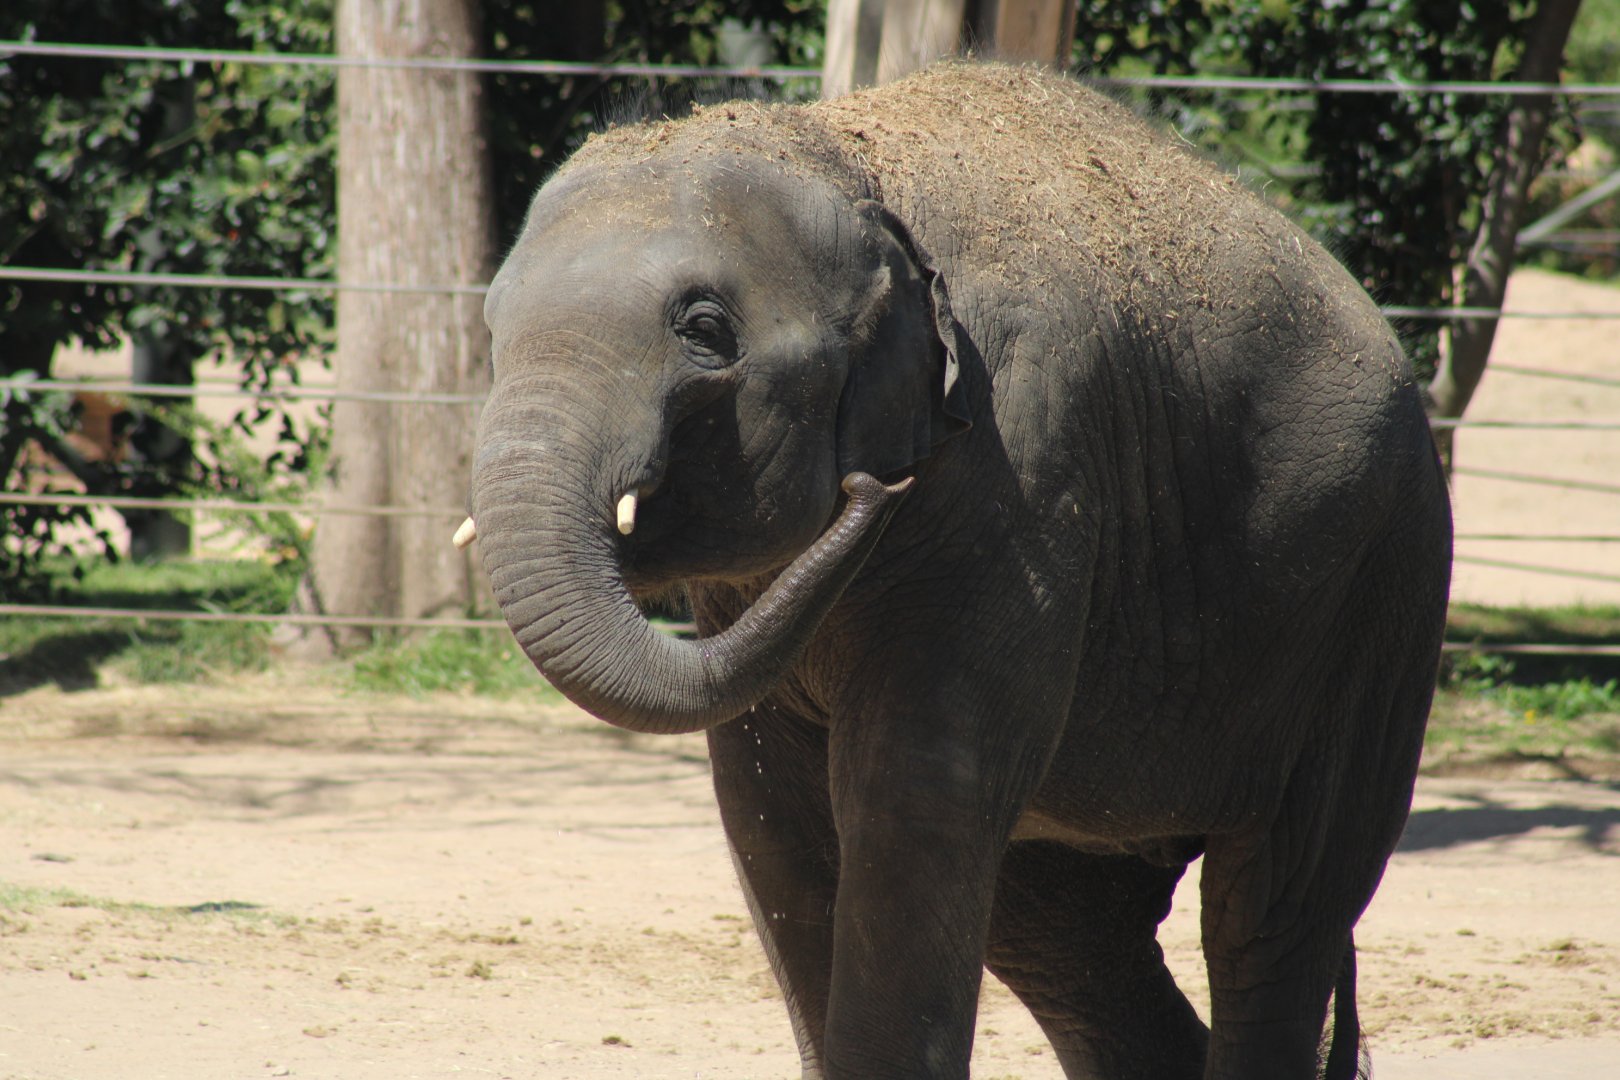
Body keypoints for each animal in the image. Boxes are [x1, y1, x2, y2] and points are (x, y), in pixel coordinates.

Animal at [463, 63, 1452, 1079]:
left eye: (704, 329)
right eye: (492, 327)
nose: (872, 484)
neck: (846, 161)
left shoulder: (1024, 473)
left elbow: (918, 793)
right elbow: (770, 816)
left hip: (1380, 599)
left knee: (1272, 916)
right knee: (1071, 944)